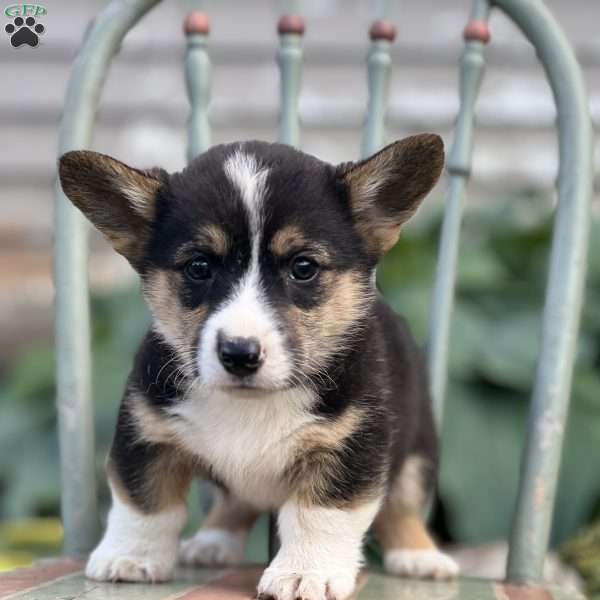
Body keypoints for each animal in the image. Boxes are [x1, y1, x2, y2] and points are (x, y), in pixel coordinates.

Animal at [58, 136, 458, 600]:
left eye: (303, 267)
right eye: (199, 266)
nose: (239, 353)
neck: (252, 402)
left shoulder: (351, 446)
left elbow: (319, 515)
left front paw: (305, 573)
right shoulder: (146, 434)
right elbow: (145, 503)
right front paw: (131, 558)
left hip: (418, 453)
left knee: (403, 507)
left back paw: (419, 556)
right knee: (234, 502)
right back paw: (212, 542)